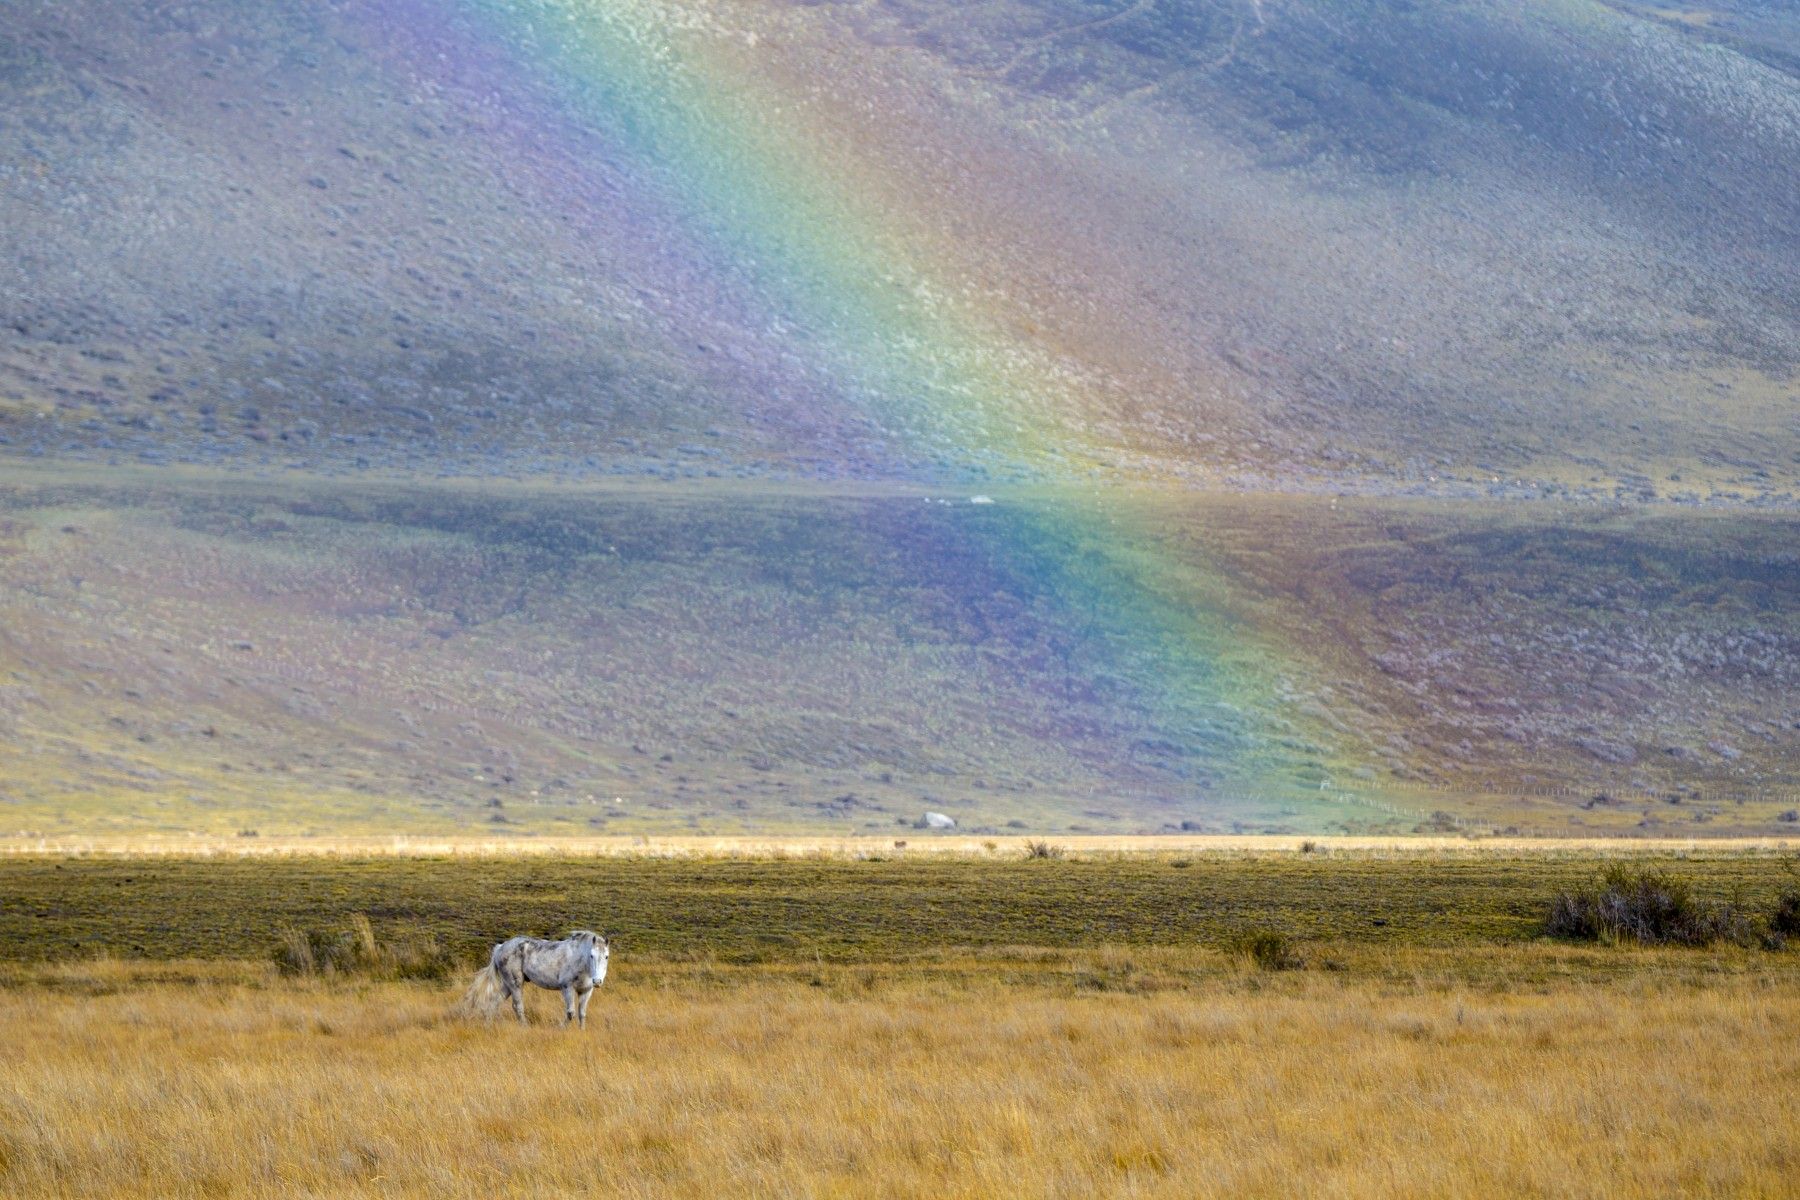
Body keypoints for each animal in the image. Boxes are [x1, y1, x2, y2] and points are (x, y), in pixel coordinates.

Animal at [468, 935, 608, 1029]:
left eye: (606, 956)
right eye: (591, 955)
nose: (597, 981)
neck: (580, 960)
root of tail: (500, 947)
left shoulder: (586, 991)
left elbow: (582, 1014)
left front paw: (581, 1031)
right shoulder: (567, 987)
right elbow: (570, 1013)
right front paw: (560, 1028)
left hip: (508, 985)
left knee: (494, 1002)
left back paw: (488, 1025)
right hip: (515, 984)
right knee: (517, 1007)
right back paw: (524, 1027)